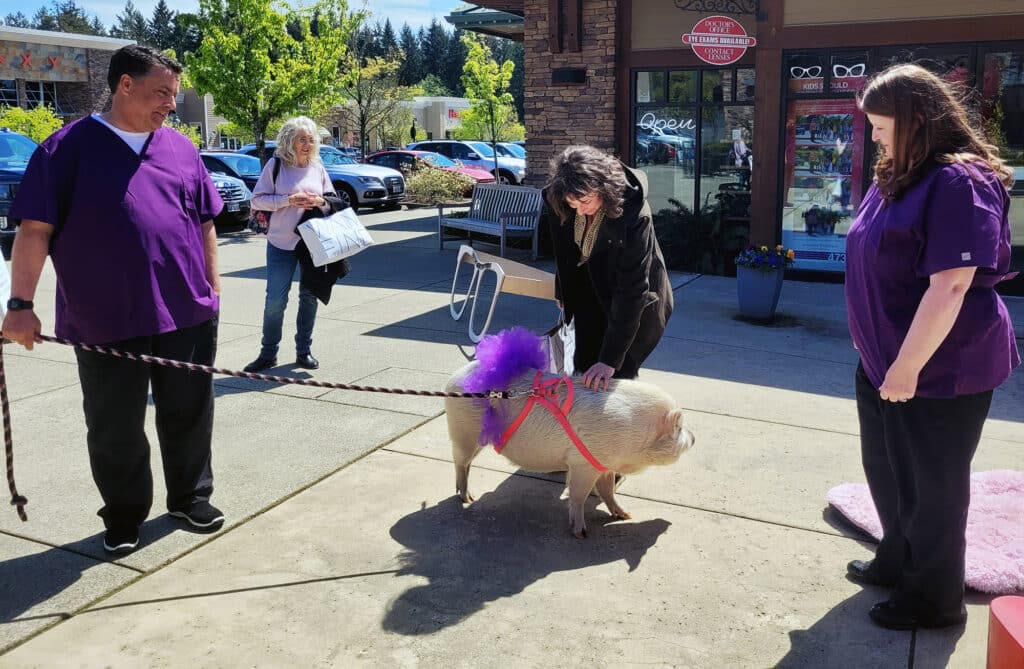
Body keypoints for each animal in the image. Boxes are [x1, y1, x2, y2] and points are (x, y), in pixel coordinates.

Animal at [442, 360, 692, 536]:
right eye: (679, 429)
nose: (694, 438)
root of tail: (454, 378)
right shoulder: (583, 463)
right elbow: (579, 495)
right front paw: (581, 533)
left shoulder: (603, 463)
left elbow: (608, 490)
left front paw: (626, 515)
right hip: (464, 432)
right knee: (459, 461)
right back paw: (467, 499)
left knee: (466, 464)